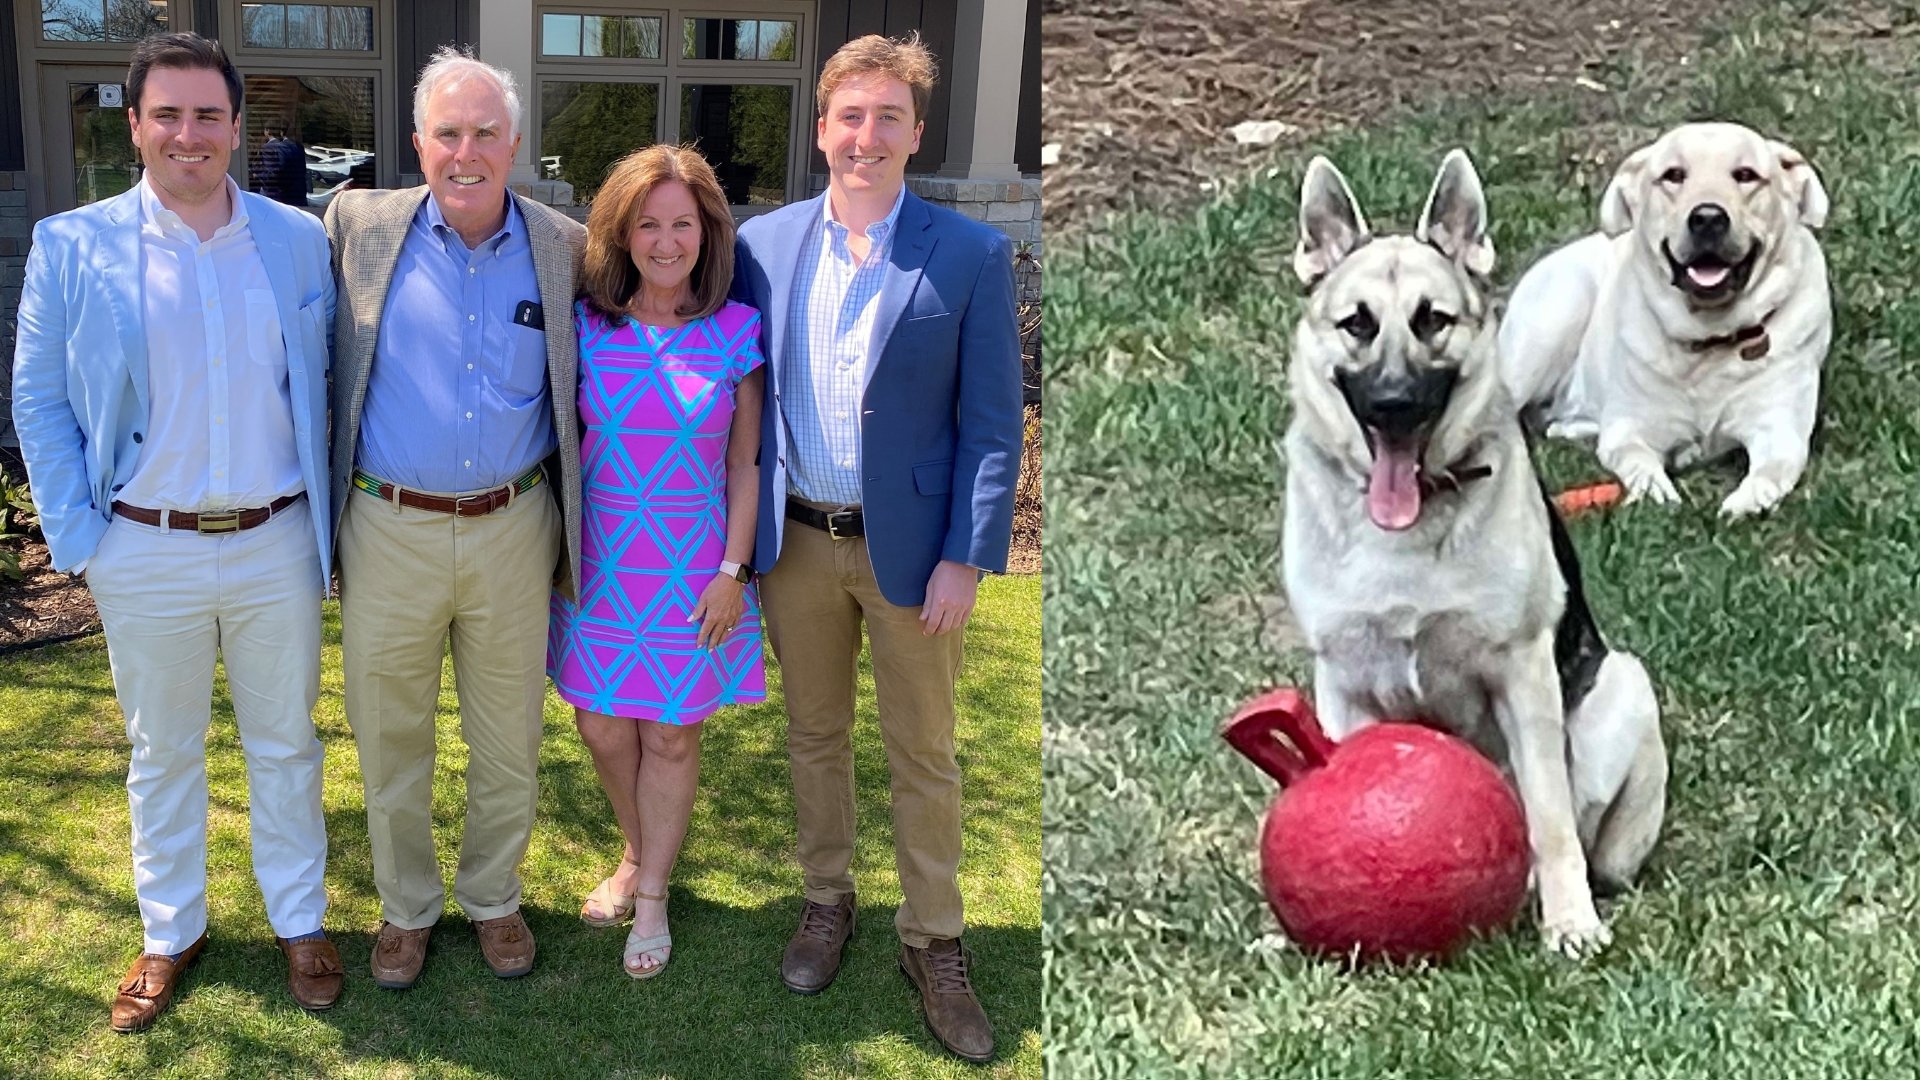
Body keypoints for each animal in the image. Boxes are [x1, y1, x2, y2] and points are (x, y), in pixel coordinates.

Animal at [1290, 148, 1666, 949]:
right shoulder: (1341, 682)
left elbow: (1550, 822)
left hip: (1623, 685)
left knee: (1588, 834)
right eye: (1356, 324)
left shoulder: (1523, 674)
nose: (1394, 404)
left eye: (1432, 320)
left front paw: (1570, 923)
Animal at [1497, 122, 1827, 518]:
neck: (1710, 336)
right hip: (1552, 322)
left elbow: (1769, 474)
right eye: (1674, 175)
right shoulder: (1629, 431)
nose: (1708, 218)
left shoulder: (1779, 434)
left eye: (1746, 175)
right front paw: (1658, 493)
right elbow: (1639, 463)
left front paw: (1742, 504)